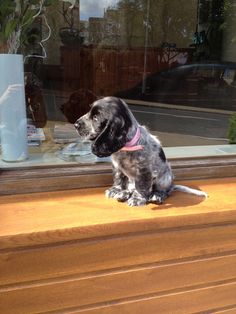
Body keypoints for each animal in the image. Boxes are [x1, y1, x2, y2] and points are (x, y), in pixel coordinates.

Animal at [74, 96, 207, 206]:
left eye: (95, 118)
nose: (75, 125)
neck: (127, 146)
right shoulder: (117, 166)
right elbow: (119, 179)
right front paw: (116, 190)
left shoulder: (144, 171)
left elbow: (142, 186)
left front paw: (138, 199)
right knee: (131, 187)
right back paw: (124, 194)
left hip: (165, 177)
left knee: (165, 191)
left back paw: (156, 196)